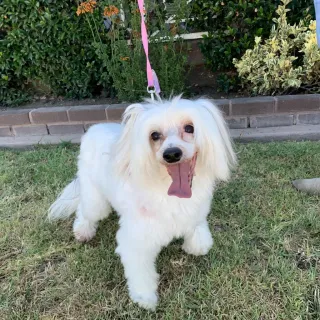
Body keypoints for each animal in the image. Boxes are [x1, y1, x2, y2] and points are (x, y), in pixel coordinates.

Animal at [48, 95, 236, 310]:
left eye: (190, 128)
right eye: (154, 135)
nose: (172, 153)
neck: (167, 189)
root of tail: (94, 128)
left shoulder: (194, 213)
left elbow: (199, 238)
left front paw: (196, 245)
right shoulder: (135, 241)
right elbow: (141, 274)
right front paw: (145, 298)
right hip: (95, 198)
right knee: (85, 208)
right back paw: (83, 231)